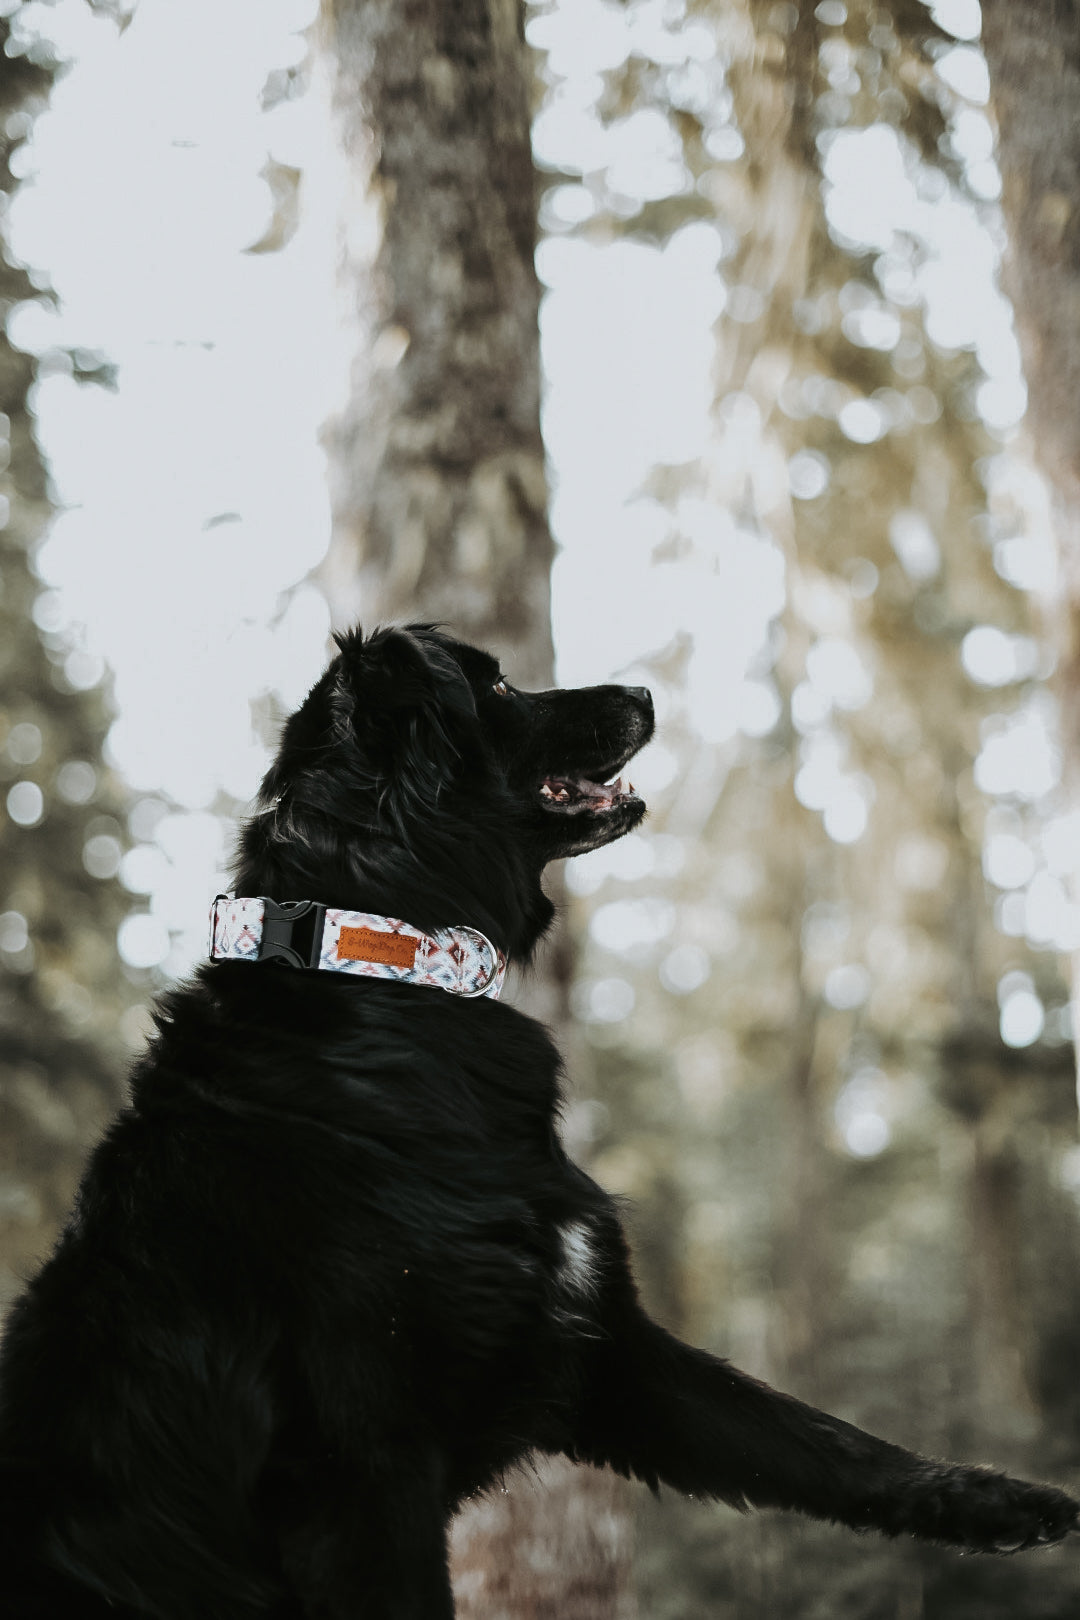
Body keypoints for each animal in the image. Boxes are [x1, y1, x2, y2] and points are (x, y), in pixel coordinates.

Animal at [0, 622, 1075, 1620]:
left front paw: (1004, 1504)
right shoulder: (360, 1468)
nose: (645, 692)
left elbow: (824, 1444)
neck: (383, 975)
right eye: (499, 688)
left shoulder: (606, 1348)